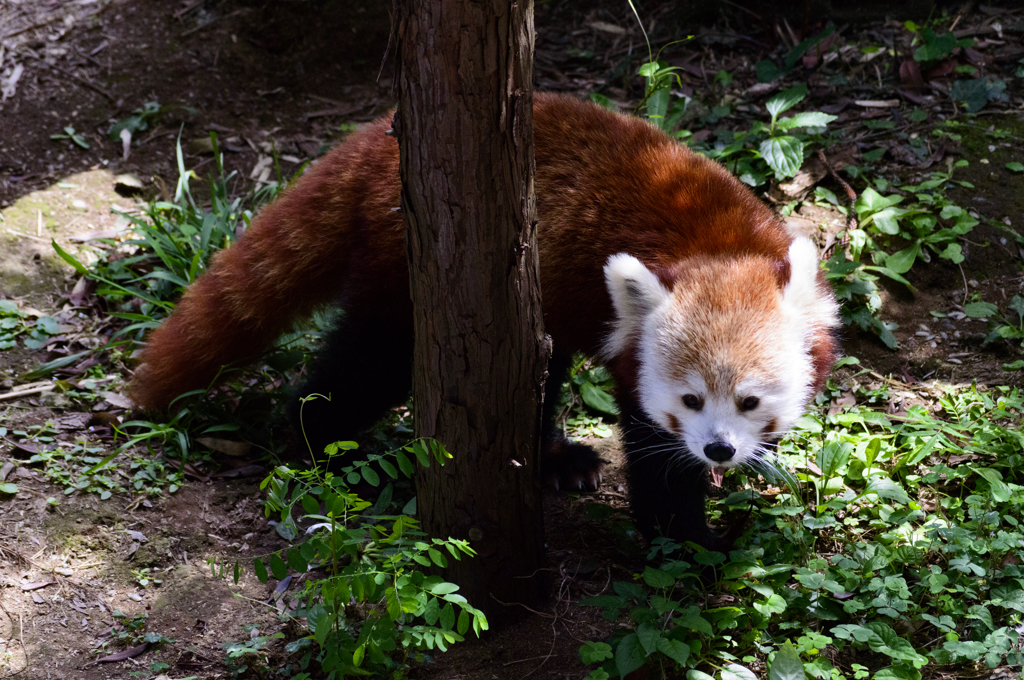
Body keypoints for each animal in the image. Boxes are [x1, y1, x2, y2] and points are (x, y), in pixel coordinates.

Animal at [132, 94, 835, 553]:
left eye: (750, 401)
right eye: (689, 400)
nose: (718, 450)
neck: (716, 245)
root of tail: (379, 141)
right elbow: (657, 468)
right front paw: (700, 546)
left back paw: (555, 459)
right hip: (408, 269)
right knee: (369, 364)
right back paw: (317, 442)